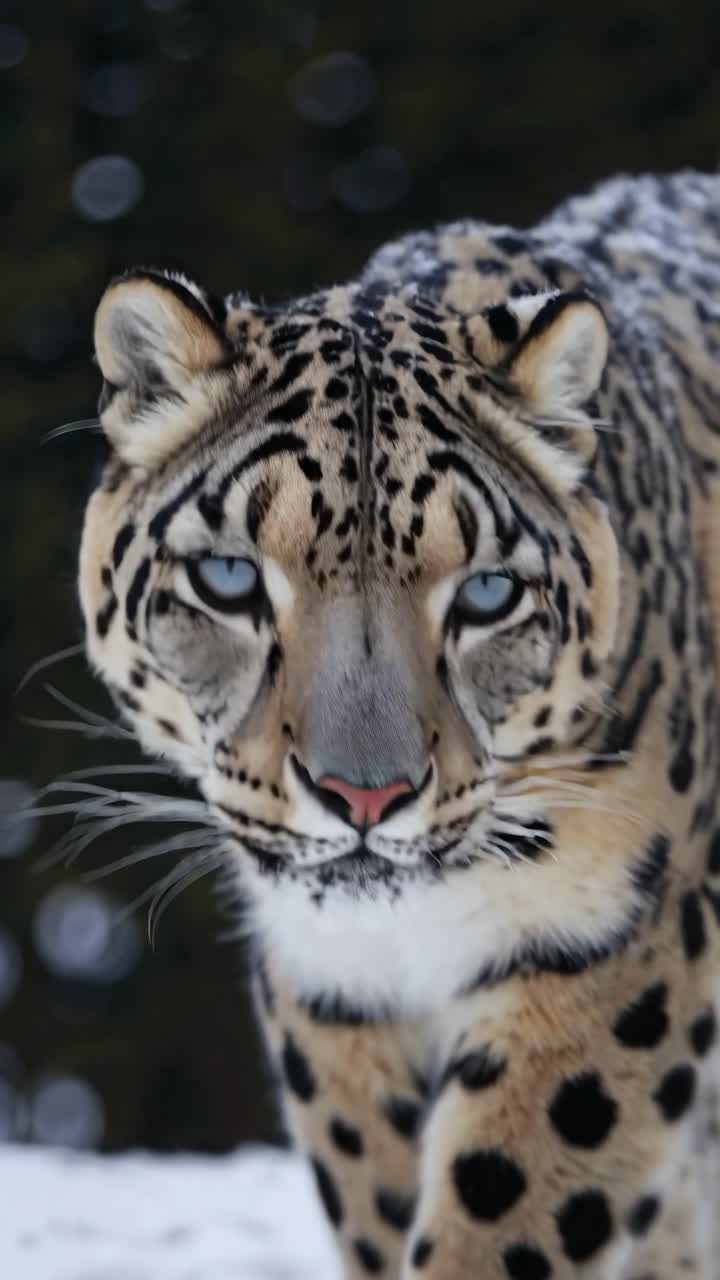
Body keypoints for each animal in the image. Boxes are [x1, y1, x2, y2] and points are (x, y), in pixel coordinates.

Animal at [75, 171, 720, 1278]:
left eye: (490, 591)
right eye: (230, 575)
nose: (363, 795)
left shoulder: (610, 943)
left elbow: (510, 1206)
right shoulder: (333, 983)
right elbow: (374, 1187)